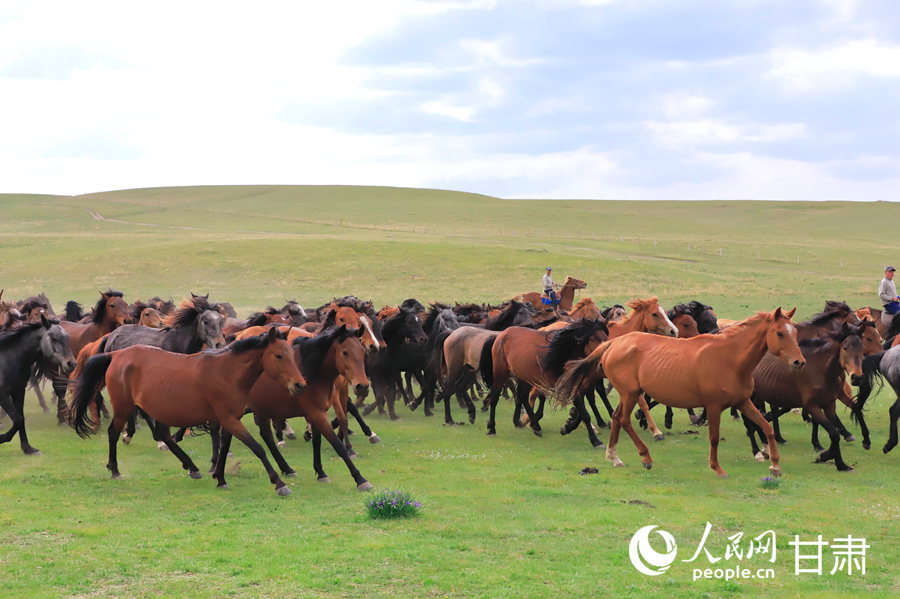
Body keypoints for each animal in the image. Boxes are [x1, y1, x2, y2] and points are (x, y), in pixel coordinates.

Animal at [0, 317, 77, 455]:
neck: (8, 359)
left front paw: (28, 448)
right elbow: (18, 419)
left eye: (67, 337)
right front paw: (2, 437)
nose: (71, 363)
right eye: (53, 338)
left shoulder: (18, 392)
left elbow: (20, 419)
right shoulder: (3, 394)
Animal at [69, 327, 307, 495]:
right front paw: (279, 483)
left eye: (291, 353)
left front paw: (220, 478)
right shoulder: (230, 419)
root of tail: (116, 354)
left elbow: (223, 449)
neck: (227, 373)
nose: (299, 385)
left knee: (164, 435)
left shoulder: (229, 420)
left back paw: (192, 467)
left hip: (160, 409)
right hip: (123, 408)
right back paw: (115, 470)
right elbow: (258, 448)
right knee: (114, 433)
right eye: (278, 356)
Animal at [247, 325, 373, 490]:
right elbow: (337, 444)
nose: (362, 386)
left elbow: (317, 441)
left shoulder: (317, 413)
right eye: (345, 352)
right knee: (267, 436)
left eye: (362, 351)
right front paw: (360, 479)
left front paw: (321, 472)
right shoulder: (317, 413)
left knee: (265, 436)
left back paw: (286, 468)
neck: (312, 373)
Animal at [557, 308, 804, 478]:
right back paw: (645, 457)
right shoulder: (713, 406)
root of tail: (614, 343)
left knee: (617, 419)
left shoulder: (743, 402)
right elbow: (714, 437)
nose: (799, 362)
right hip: (630, 394)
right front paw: (717, 468)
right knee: (624, 420)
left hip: (628, 394)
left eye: (795, 332)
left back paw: (614, 457)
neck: (730, 359)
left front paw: (775, 465)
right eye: (780, 333)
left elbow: (767, 427)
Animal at [743, 323, 866, 472]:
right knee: (749, 422)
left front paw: (827, 457)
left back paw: (766, 447)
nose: (857, 377)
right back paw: (757, 452)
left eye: (862, 348)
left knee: (758, 420)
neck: (820, 371)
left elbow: (834, 431)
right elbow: (834, 433)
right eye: (845, 347)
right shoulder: (812, 406)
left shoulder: (829, 405)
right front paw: (836, 462)